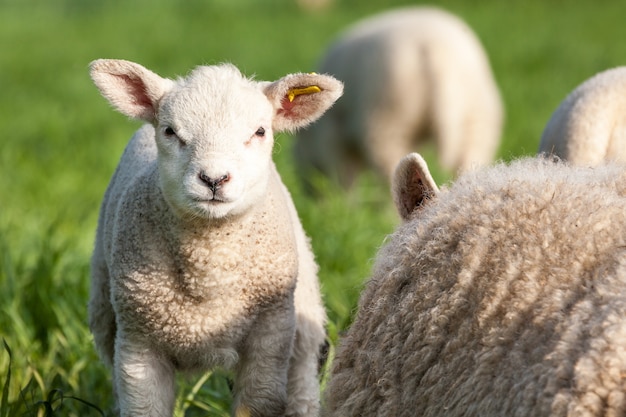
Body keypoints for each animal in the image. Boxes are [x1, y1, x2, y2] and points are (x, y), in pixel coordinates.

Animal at [87, 58, 342, 416]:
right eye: (170, 131)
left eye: (260, 131)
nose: (213, 179)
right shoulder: (138, 342)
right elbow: (143, 407)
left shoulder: (269, 339)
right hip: (104, 311)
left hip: (304, 317)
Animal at [292, 6, 502, 189]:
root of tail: (432, 49)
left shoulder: (332, 138)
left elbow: (344, 178)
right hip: (476, 118)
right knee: (468, 163)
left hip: (385, 120)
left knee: (391, 172)